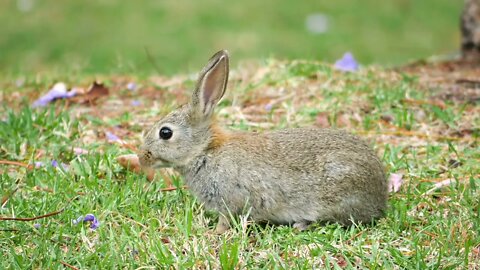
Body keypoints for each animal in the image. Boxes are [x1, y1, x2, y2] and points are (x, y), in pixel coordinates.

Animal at [137, 49, 388, 233]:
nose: (142, 158)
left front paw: (215, 233)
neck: (205, 151)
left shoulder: (231, 198)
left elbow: (225, 219)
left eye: (165, 133)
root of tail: (380, 195)